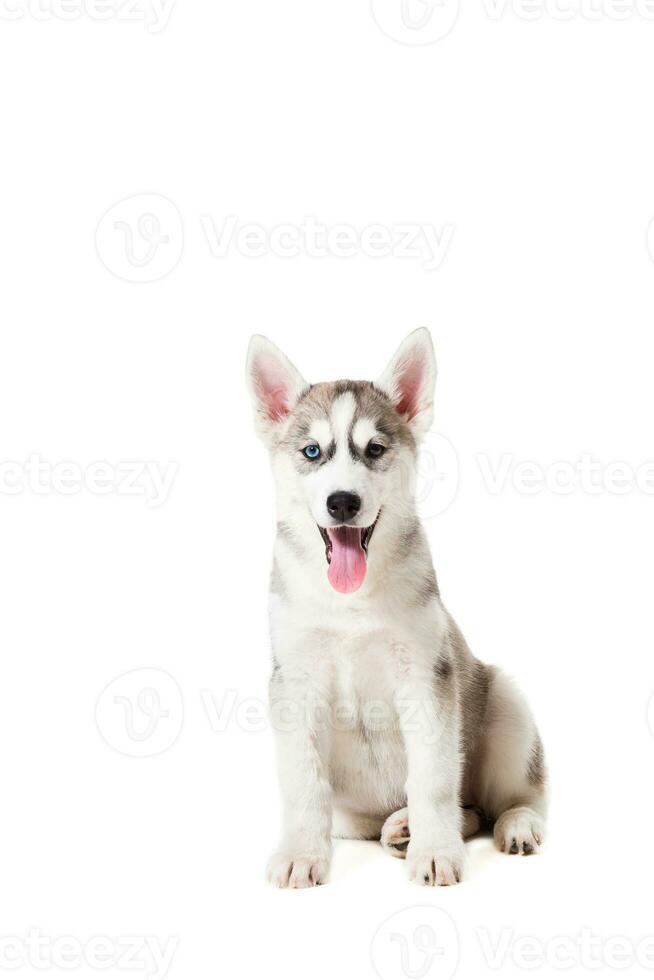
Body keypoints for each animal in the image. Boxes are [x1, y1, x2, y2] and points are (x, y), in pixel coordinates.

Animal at [247, 330, 548, 888]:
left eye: (375, 450)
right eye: (313, 451)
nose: (343, 502)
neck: (349, 603)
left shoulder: (427, 677)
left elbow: (431, 778)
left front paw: (435, 851)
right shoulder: (294, 682)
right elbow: (303, 782)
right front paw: (301, 853)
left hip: (507, 704)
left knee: (508, 798)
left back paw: (510, 823)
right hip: (353, 811)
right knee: (455, 810)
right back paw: (399, 826)